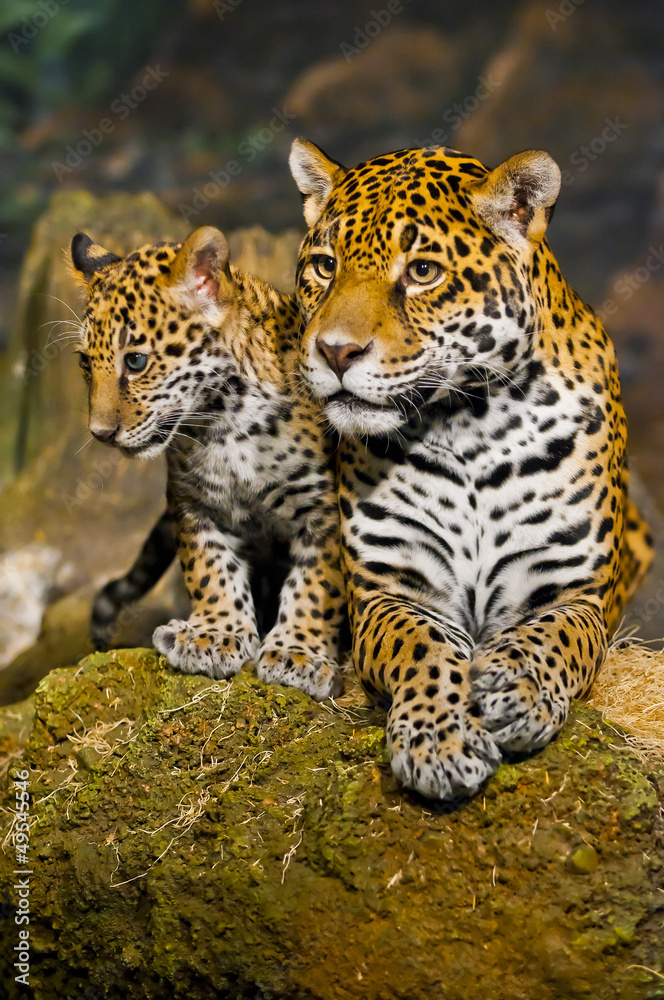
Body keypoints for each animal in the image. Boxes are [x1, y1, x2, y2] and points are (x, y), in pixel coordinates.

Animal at [70, 225, 346, 700]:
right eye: (87, 362)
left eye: (136, 361)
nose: (101, 433)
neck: (225, 425)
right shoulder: (192, 504)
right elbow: (210, 567)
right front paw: (215, 635)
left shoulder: (324, 508)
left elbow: (317, 582)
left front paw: (298, 654)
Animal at [288, 138, 653, 801]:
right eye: (326, 266)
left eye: (422, 273)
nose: (335, 351)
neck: (469, 426)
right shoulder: (390, 589)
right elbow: (424, 647)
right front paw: (439, 742)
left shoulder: (575, 592)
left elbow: (552, 637)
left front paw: (518, 691)